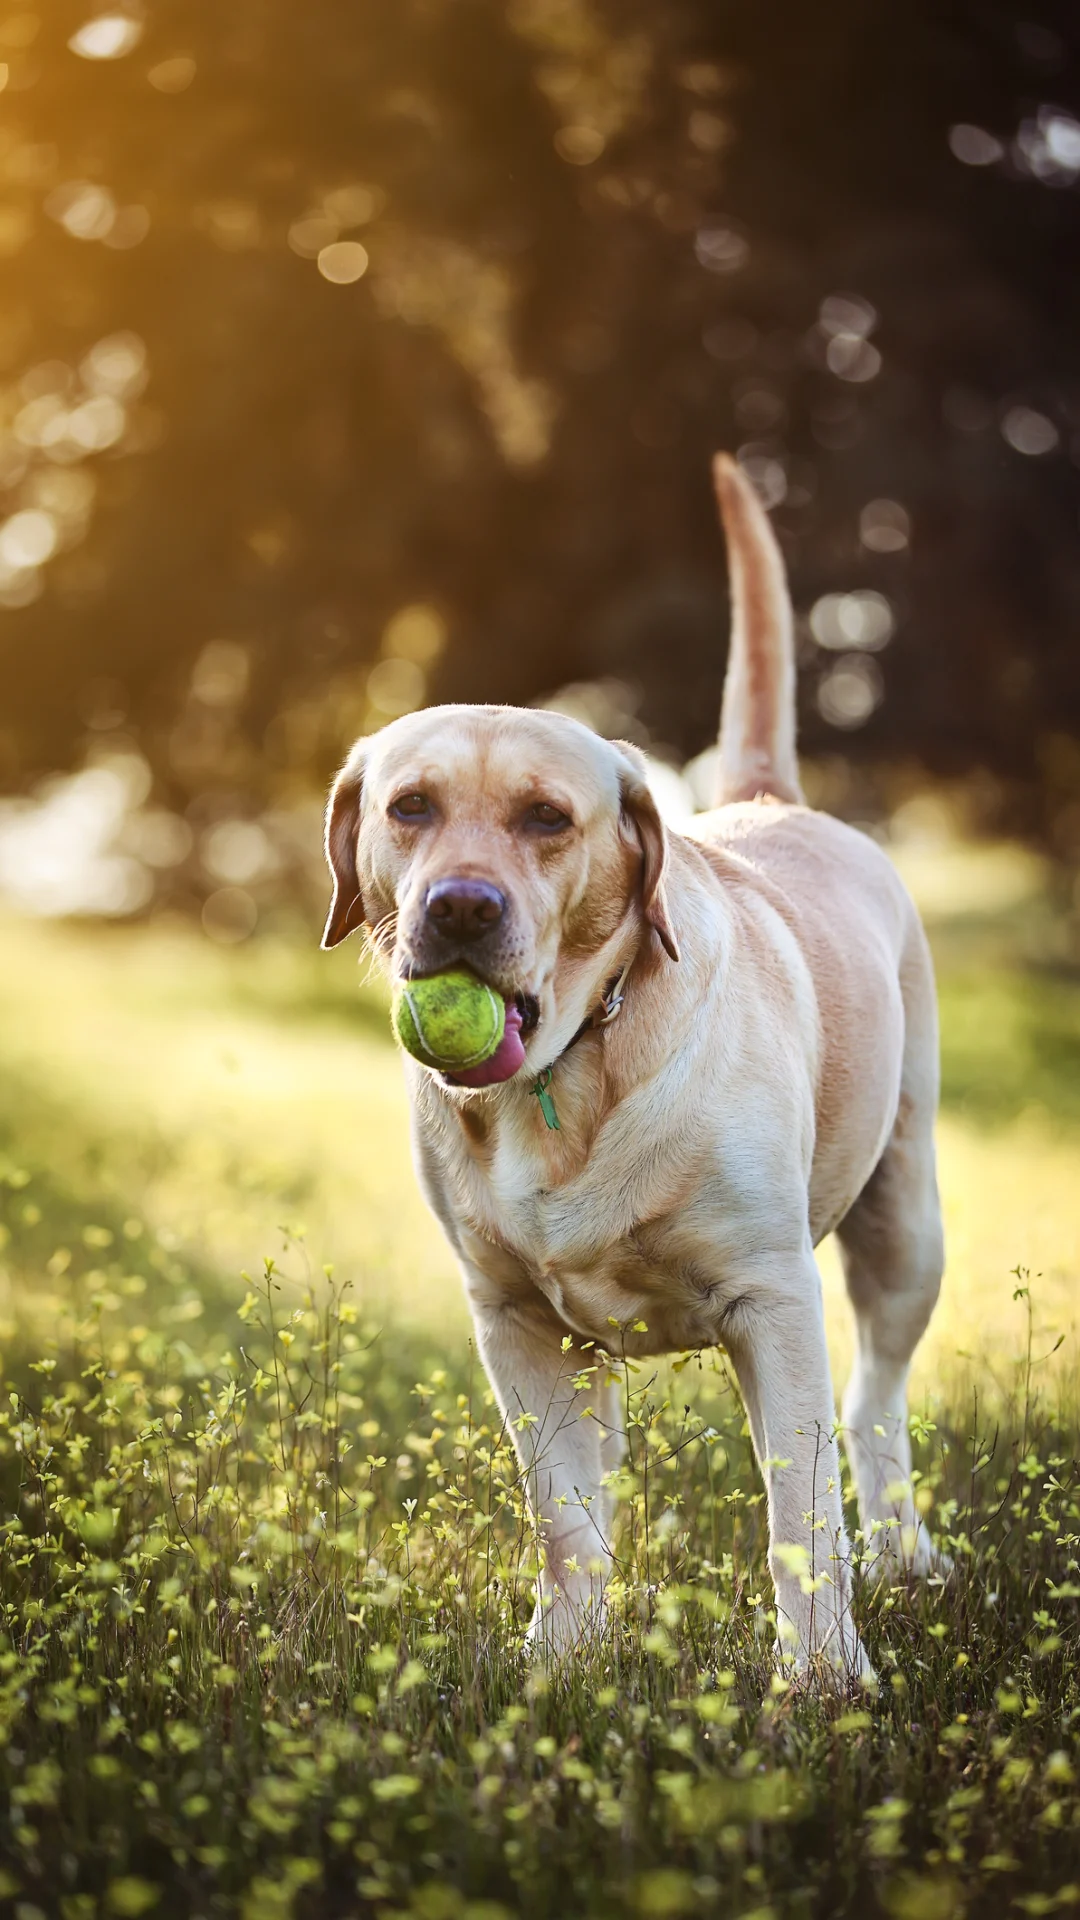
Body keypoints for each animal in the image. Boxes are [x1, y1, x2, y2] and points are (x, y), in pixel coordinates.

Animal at [319, 453, 941, 1681]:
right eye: (409, 807)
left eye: (546, 818)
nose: (461, 907)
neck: (575, 1065)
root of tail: (766, 797)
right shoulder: (513, 1318)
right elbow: (562, 1514)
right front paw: (562, 1660)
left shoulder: (772, 1297)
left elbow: (801, 1513)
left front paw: (823, 1681)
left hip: (907, 1224)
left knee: (874, 1403)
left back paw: (906, 1552)